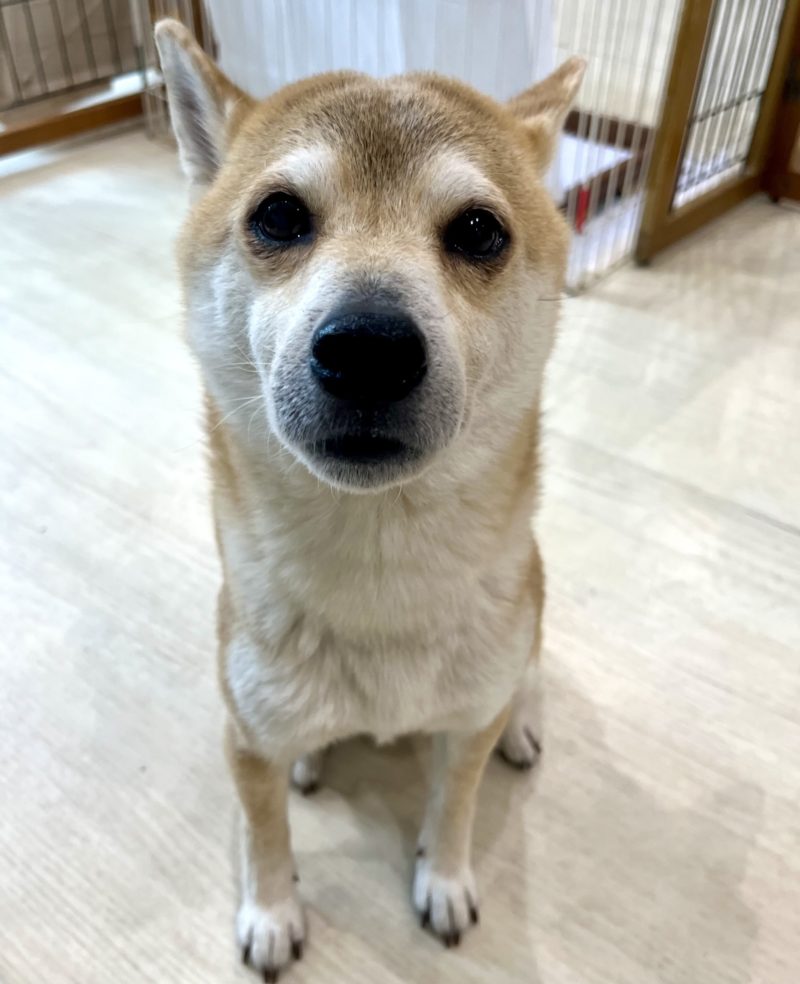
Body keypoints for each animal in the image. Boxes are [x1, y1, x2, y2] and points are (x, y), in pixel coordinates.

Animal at [155, 19, 583, 980]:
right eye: (278, 216)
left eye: (478, 231)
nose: (369, 346)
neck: (379, 581)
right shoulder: (245, 734)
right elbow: (266, 832)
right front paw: (272, 911)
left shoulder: (462, 729)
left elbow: (454, 803)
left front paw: (445, 880)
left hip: (532, 596)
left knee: (528, 667)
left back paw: (523, 724)